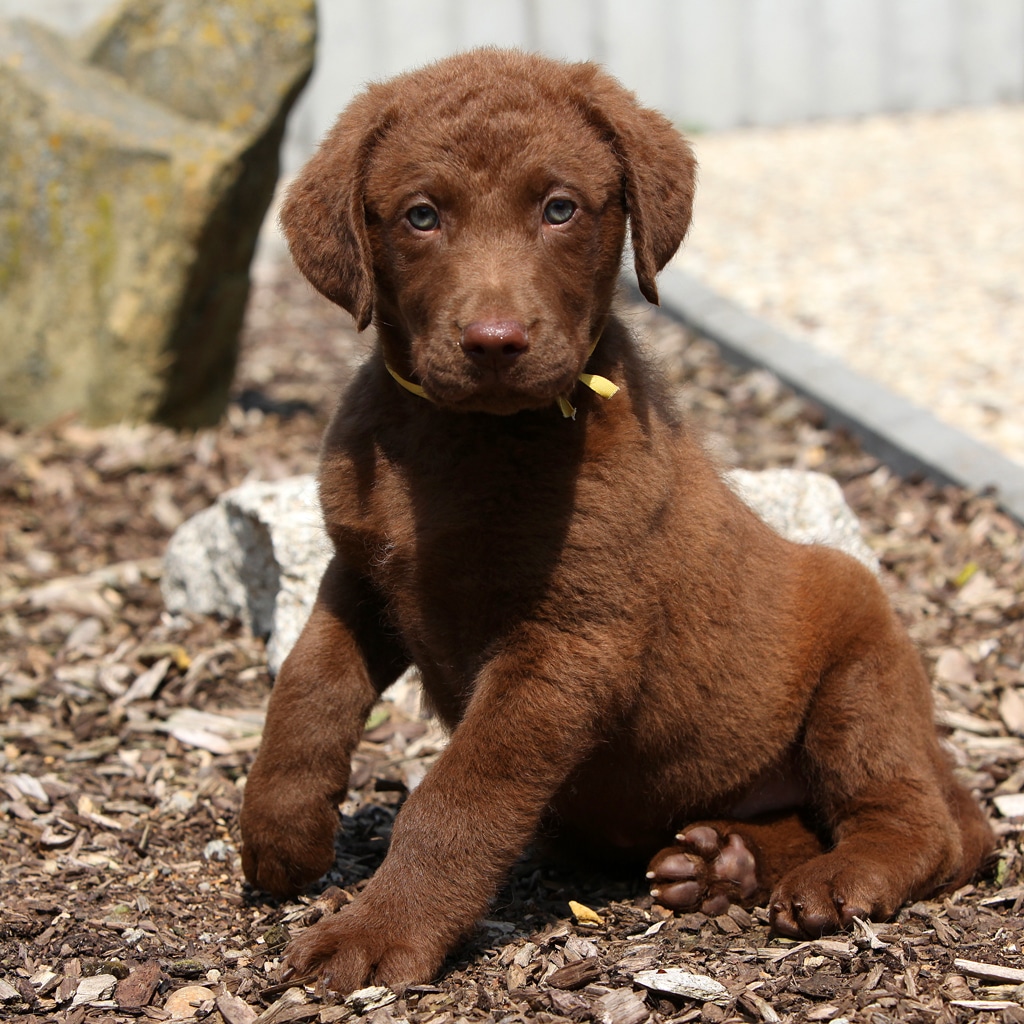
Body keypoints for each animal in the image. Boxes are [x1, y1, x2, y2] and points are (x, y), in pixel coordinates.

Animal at [239, 49, 991, 991]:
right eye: (422, 215)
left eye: (559, 208)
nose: (495, 341)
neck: (465, 437)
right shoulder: (362, 576)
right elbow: (306, 690)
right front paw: (281, 833)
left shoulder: (566, 645)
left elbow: (456, 798)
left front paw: (378, 931)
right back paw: (723, 862)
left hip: (863, 668)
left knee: (917, 821)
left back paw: (838, 877)